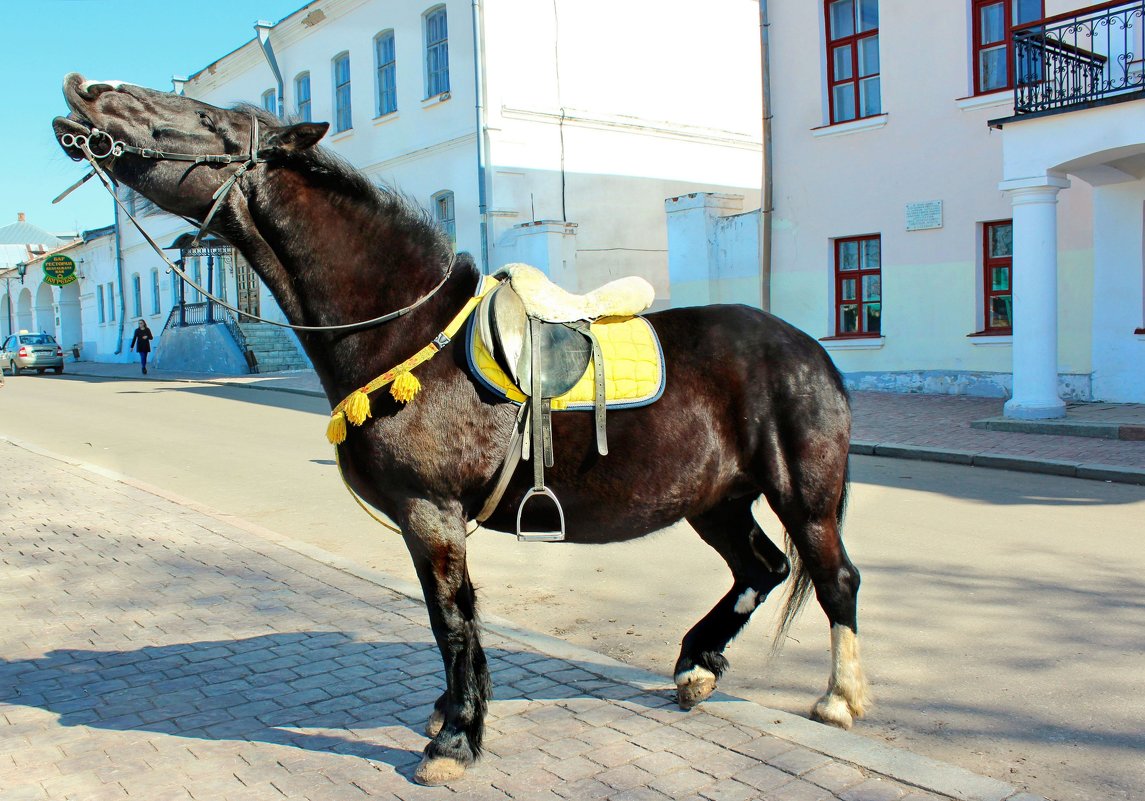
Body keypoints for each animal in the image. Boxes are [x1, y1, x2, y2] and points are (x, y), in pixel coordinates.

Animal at [49, 72, 861, 787]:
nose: (86, 91)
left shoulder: (430, 513)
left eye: (209, 120)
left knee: (833, 578)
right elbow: (451, 623)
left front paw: (455, 739)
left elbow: (452, 620)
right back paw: (697, 666)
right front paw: (450, 714)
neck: (403, 329)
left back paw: (839, 698)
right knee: (762, 567)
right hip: (716, 500)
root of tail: (807, 348)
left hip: (802, 496)